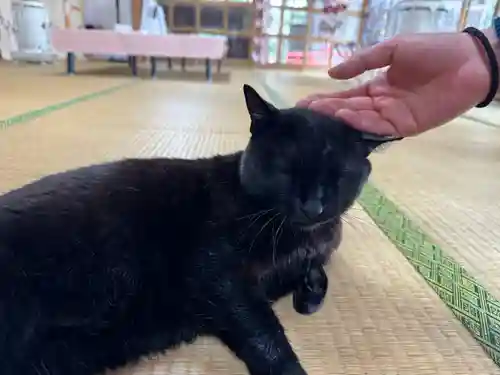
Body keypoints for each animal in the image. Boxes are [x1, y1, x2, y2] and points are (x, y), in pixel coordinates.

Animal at [0, 85, 400, 375]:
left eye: (339, 176)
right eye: (287, 169)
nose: (314, 206)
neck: (294, 235)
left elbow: (317, 270)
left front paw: (310, 291)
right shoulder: (219, 274)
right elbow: (265, 332)